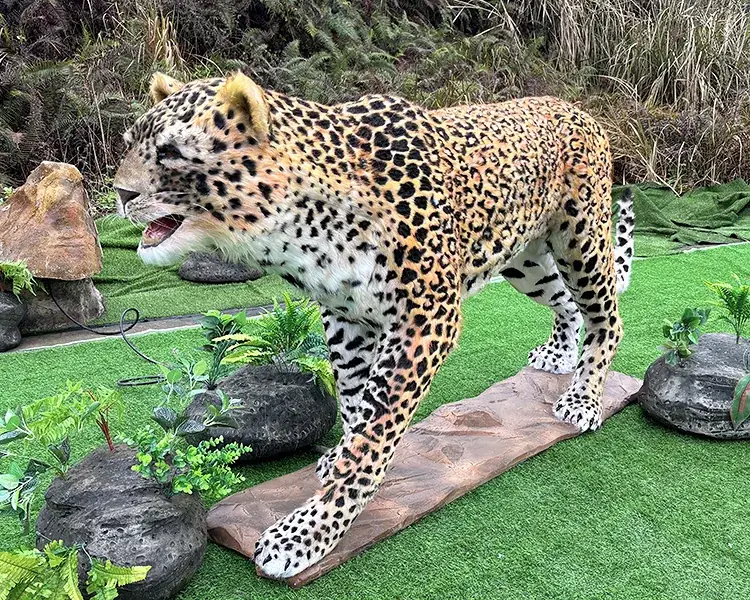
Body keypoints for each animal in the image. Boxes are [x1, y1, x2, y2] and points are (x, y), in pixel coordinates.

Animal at [113, 71, 635, 579]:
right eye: (129, 143)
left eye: (170, 152)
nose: (120, 194)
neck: (300, 229)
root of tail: (573, 107)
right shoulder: (345, 315)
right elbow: (352, 398)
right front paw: (335, 457)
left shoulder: (426, 316)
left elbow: (375, 429)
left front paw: (306, 535)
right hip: (524, 258)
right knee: (566, 303)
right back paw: (559, 357)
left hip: (581, 240)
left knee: (607, 314)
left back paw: (584, 400)